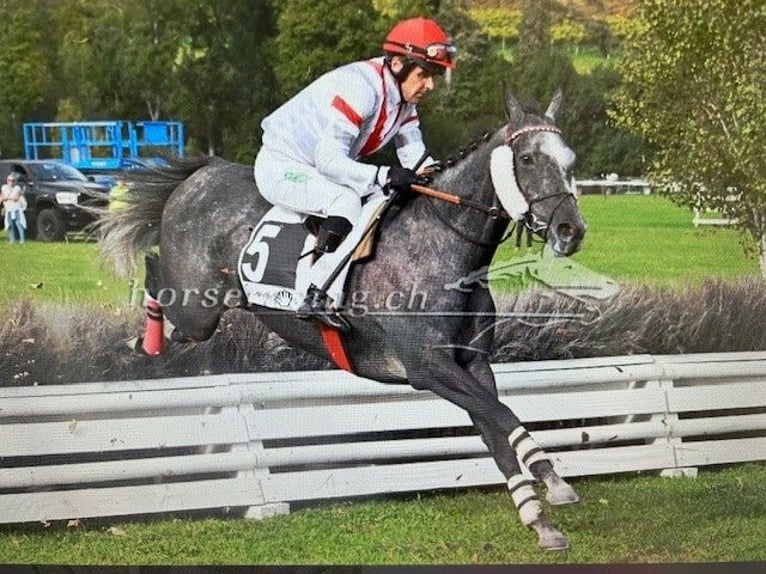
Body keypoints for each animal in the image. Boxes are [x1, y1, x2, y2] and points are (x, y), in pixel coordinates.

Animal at [100, 90, 588, 552]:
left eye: (570, 160)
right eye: (527, 159)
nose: (571, 231)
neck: (444, 246)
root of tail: (201, 173)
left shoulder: (471, 363)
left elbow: (496, 427)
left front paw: (539, 518)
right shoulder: (428, 368)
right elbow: (501, 414)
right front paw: (554, 482)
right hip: (197, 308)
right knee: (156, 276)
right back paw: (140, 342)